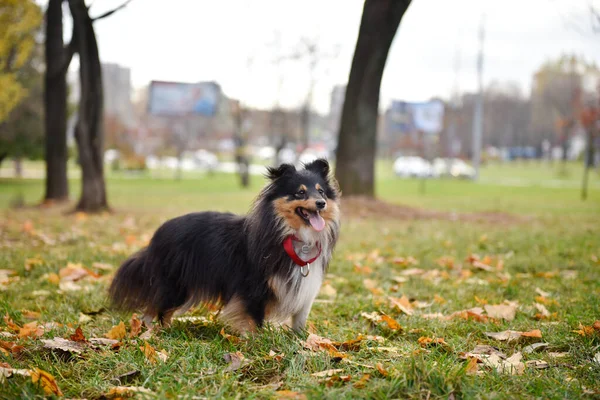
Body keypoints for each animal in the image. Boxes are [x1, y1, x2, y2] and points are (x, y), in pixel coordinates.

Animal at [108, 158, 340, 332]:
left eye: (321, 192)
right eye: (300, 192)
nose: (321, 203)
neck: (293, 235)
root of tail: (157, 235)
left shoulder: (305, 288)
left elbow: (299, 321)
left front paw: (301, 342)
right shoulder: (253, 287)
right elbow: (254, 320)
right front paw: (256, 342)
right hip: (176, 284)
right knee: (161, 308)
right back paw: (161, 331)